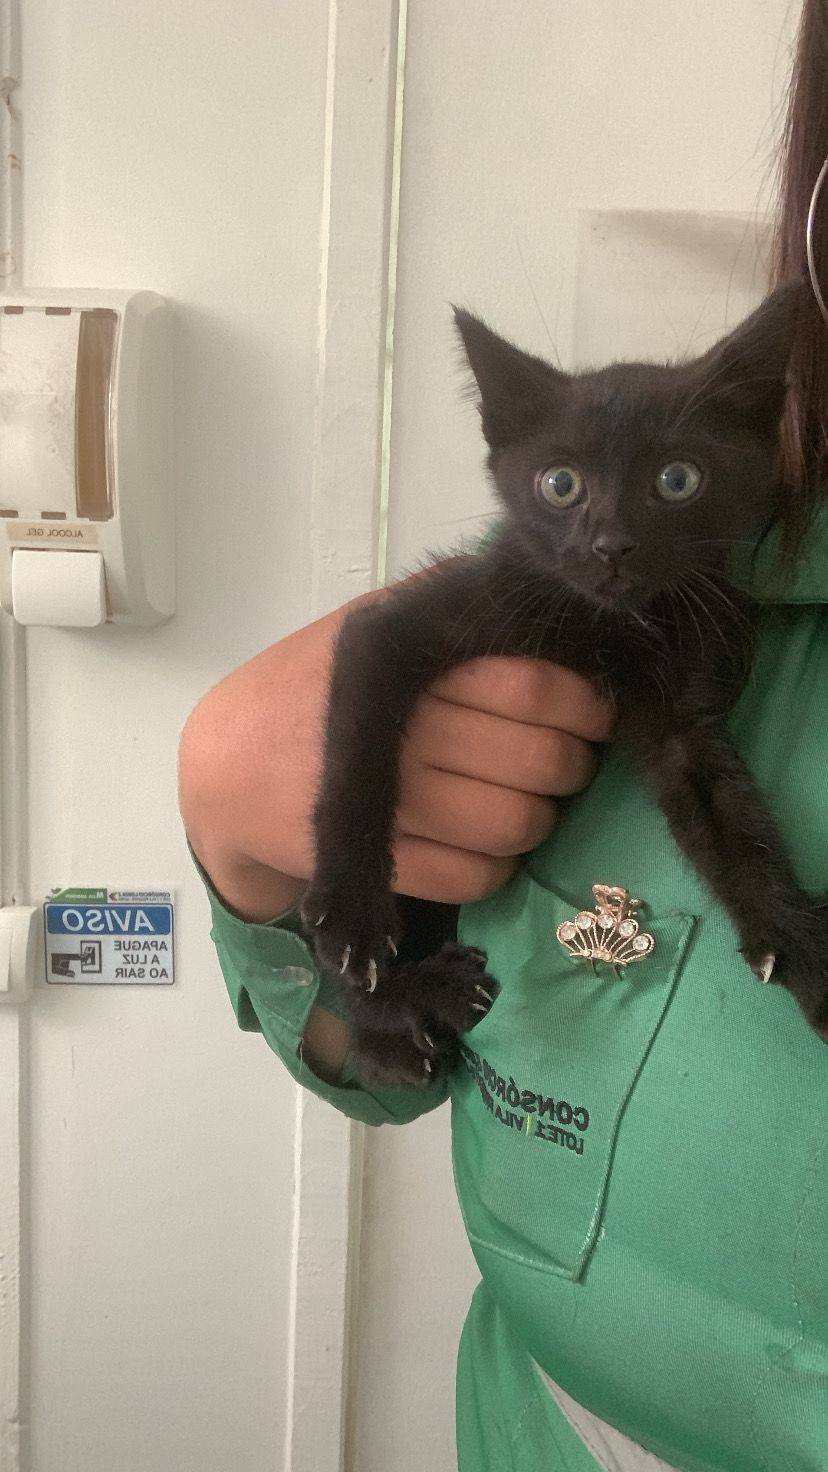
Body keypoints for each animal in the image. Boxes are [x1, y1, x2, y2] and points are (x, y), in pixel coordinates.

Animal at [300, 278, 828, 1086]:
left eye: (678, 479)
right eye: (560, 485)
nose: (610, 545)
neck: (606, 625)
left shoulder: (679, 720)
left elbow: (735, 826)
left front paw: (798, 945)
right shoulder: (411, 625)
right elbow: (357, 758)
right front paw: (353, 917)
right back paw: (413, 1005)